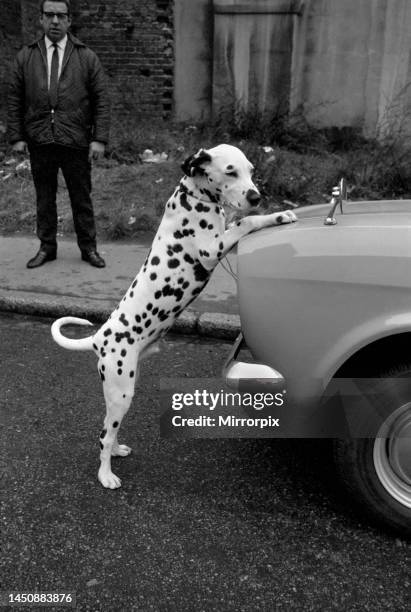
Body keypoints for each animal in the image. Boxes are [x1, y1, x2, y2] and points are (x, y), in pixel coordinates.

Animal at [51, 142, 298, 488]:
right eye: (230, 171)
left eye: (250, 170)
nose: (255, 197)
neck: (194, 197)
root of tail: (100, 338)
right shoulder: (211, 249)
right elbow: (245, 223)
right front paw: (276, 215)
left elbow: (240, 222)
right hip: (120, 390)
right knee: (102, 435)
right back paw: (106, 475)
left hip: (123, 388)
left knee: (110, 429)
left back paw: (117, 451)